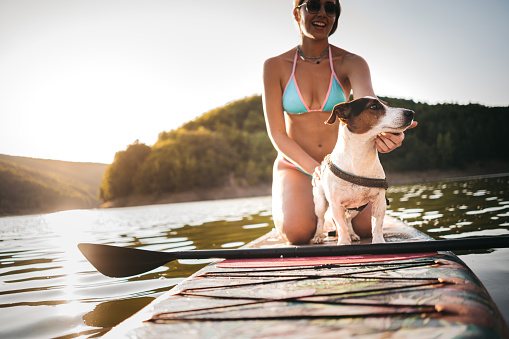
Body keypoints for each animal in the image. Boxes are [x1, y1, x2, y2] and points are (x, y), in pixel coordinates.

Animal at [312, 97, 414, 246]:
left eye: (386, 104)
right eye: (374, 106)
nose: (411, 112)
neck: (360, 155)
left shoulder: (379, 201)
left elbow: (377, 225)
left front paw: (378, 242)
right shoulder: (336, 204)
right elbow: (341, 226)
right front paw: (344, 242)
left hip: (356, 208)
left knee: (348, 219)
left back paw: (352, 234)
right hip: (321, 202)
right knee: (321, 219)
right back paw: (319, 236)